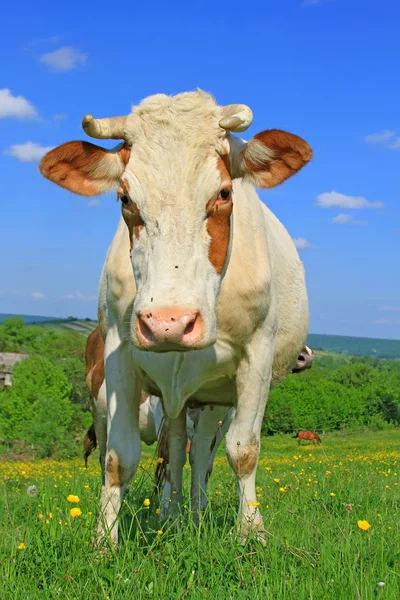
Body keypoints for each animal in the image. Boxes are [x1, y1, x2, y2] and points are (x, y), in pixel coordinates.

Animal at [39, 91, 312, 548]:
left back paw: (195, 516)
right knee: (173, 449)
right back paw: (172, 516)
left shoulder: (255, 357)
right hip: (166, 396)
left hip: (210, 397)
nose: (168, 322)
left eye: (224, 193)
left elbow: (243, 451)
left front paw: (251, 536)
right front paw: (103, 544)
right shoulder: (119, 354)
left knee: (198, 452)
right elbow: (119, 457)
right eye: (125, 198)